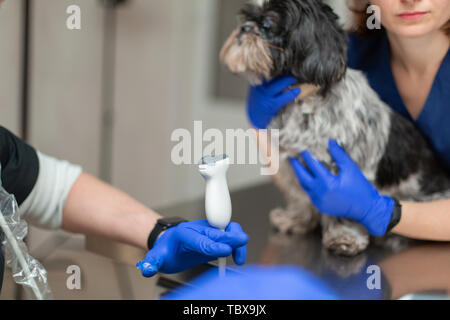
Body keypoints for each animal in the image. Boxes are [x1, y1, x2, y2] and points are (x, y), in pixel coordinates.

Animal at [220, 0, 450, 256]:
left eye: (268, 23)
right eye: (246, 17)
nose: (244, 29)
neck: (303, 102)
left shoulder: (345, 172)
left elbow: (345, 208)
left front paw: (343, 237)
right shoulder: (293, 165)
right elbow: (300, 196)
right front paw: (295, 220)